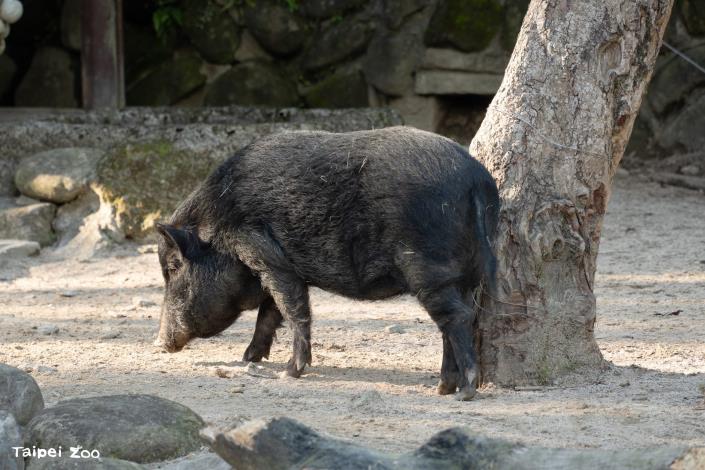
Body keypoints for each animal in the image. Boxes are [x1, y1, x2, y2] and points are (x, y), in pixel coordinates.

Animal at [154, 126, 499, 400]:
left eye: (173, 267)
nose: (158, 343)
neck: (221, 222)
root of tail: (477, 181)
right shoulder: (276, 264)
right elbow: (271, 312)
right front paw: (248, 358)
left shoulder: (265, 254)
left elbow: (292, 308)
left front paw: (288, 373)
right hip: (463, 276)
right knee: (453, 322)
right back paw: (443, 389)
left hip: (428, 269)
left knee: (457, 318)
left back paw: (463, 393)